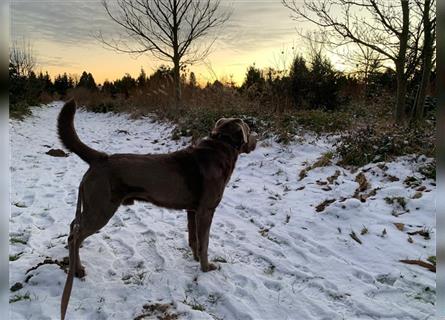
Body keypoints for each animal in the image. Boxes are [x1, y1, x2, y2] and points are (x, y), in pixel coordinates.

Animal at [57, 99, 255, 318]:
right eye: (249, 129)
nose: (256, 140)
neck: (221, 147)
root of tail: (100, 158)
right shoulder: (206, 210)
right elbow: (205, 242)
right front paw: (206, 267)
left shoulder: (192, 211)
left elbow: (194, 239)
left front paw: (195, 259)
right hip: (101, 209)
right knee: (75, 235)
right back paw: (78, 270)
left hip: (91, 205)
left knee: (73, 227)